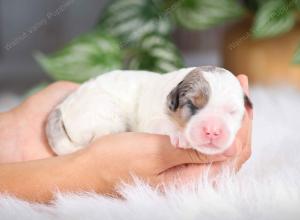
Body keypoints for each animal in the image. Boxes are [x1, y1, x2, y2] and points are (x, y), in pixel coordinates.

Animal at [47, 66, 252, 156]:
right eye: (192, 106)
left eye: (232, 111)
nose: (212, 131)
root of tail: (62, 106)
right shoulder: (153, 120)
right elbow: (163, 124)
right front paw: (180, 135)